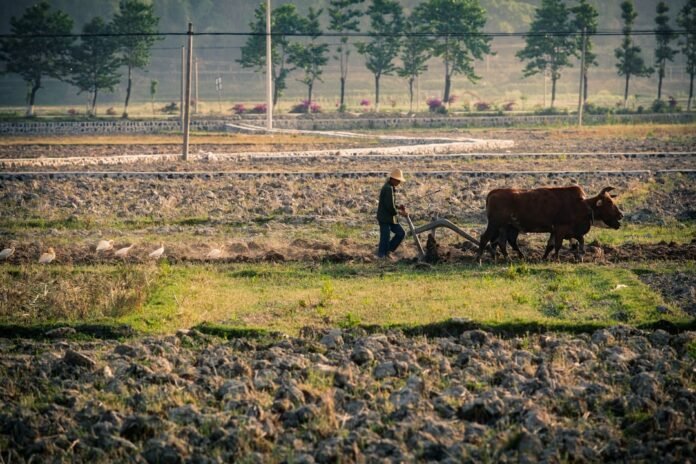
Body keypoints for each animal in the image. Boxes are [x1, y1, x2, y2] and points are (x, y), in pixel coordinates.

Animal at [476, 186, 623, 261]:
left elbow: (552, 245)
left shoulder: (561, 231)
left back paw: (504, 258)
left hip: (505, 227)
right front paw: (556, 259)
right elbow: (558, 245)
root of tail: (493, 192)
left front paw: (545, 257)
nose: (621, 215)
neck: (583, 204)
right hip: (495, 224)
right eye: (609, 202)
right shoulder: (561, 229)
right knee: (485, 238)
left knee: (501, 242)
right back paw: (479, 259)